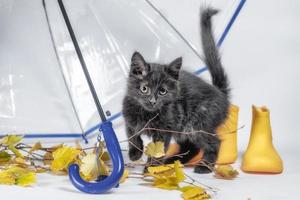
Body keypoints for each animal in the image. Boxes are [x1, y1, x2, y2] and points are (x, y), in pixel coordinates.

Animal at [122, 7, 230, 173]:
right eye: (144, 88)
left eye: (162, 91)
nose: (152, 101)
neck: (147, 114)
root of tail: (221, 94)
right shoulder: (128, 115)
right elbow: (131, 134)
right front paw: (135, 153)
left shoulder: (165, 129)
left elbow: (158, 150)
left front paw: (151, 168)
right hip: (183, 128)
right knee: (190, 147)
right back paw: (172, 162)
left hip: (198, 122)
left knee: (214, 142)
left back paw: (204, 166)